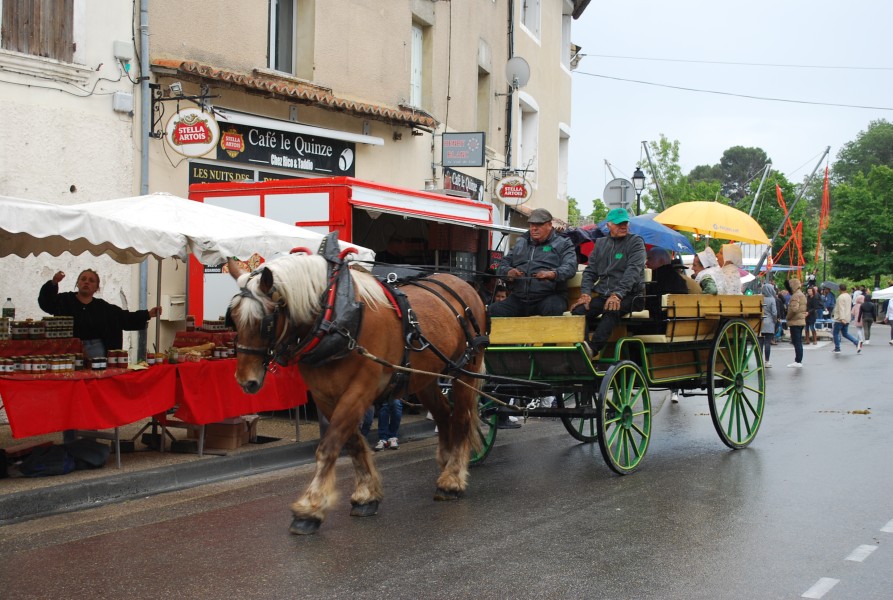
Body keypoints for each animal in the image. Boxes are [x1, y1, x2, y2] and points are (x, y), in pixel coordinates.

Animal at [225, 248, 488, 536]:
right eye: (233, 318)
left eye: (266, 322)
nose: (245, 381)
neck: (336, 320)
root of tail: (465, 284)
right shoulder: (325, 396)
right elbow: (352, 443)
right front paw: (366, 495)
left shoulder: (360, 390)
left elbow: (329, 446)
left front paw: (309, 507)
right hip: (427, 377)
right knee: (443, 416)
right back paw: (446, 464)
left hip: (465, 371)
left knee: (461, 418)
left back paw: (452, 479)